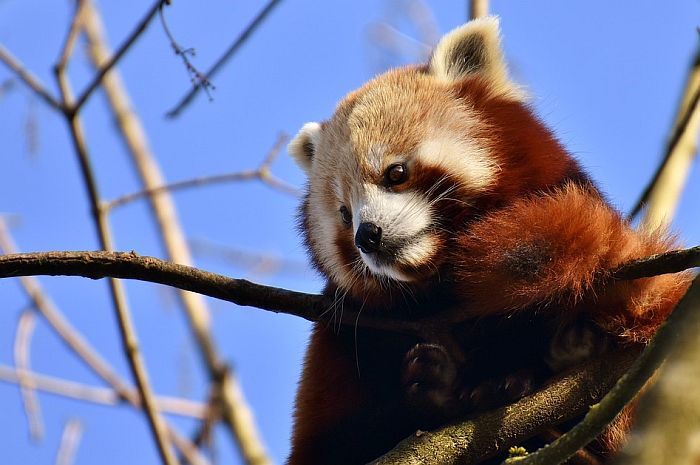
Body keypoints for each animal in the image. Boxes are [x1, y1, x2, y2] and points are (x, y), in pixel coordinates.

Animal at [286, 17, 688, 464]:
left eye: (396, 173)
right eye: (344, 213)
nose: (367, 236)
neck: (442, 287)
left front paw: (500, 376)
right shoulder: (345, 333)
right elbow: (334, 442)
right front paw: (435, 391)